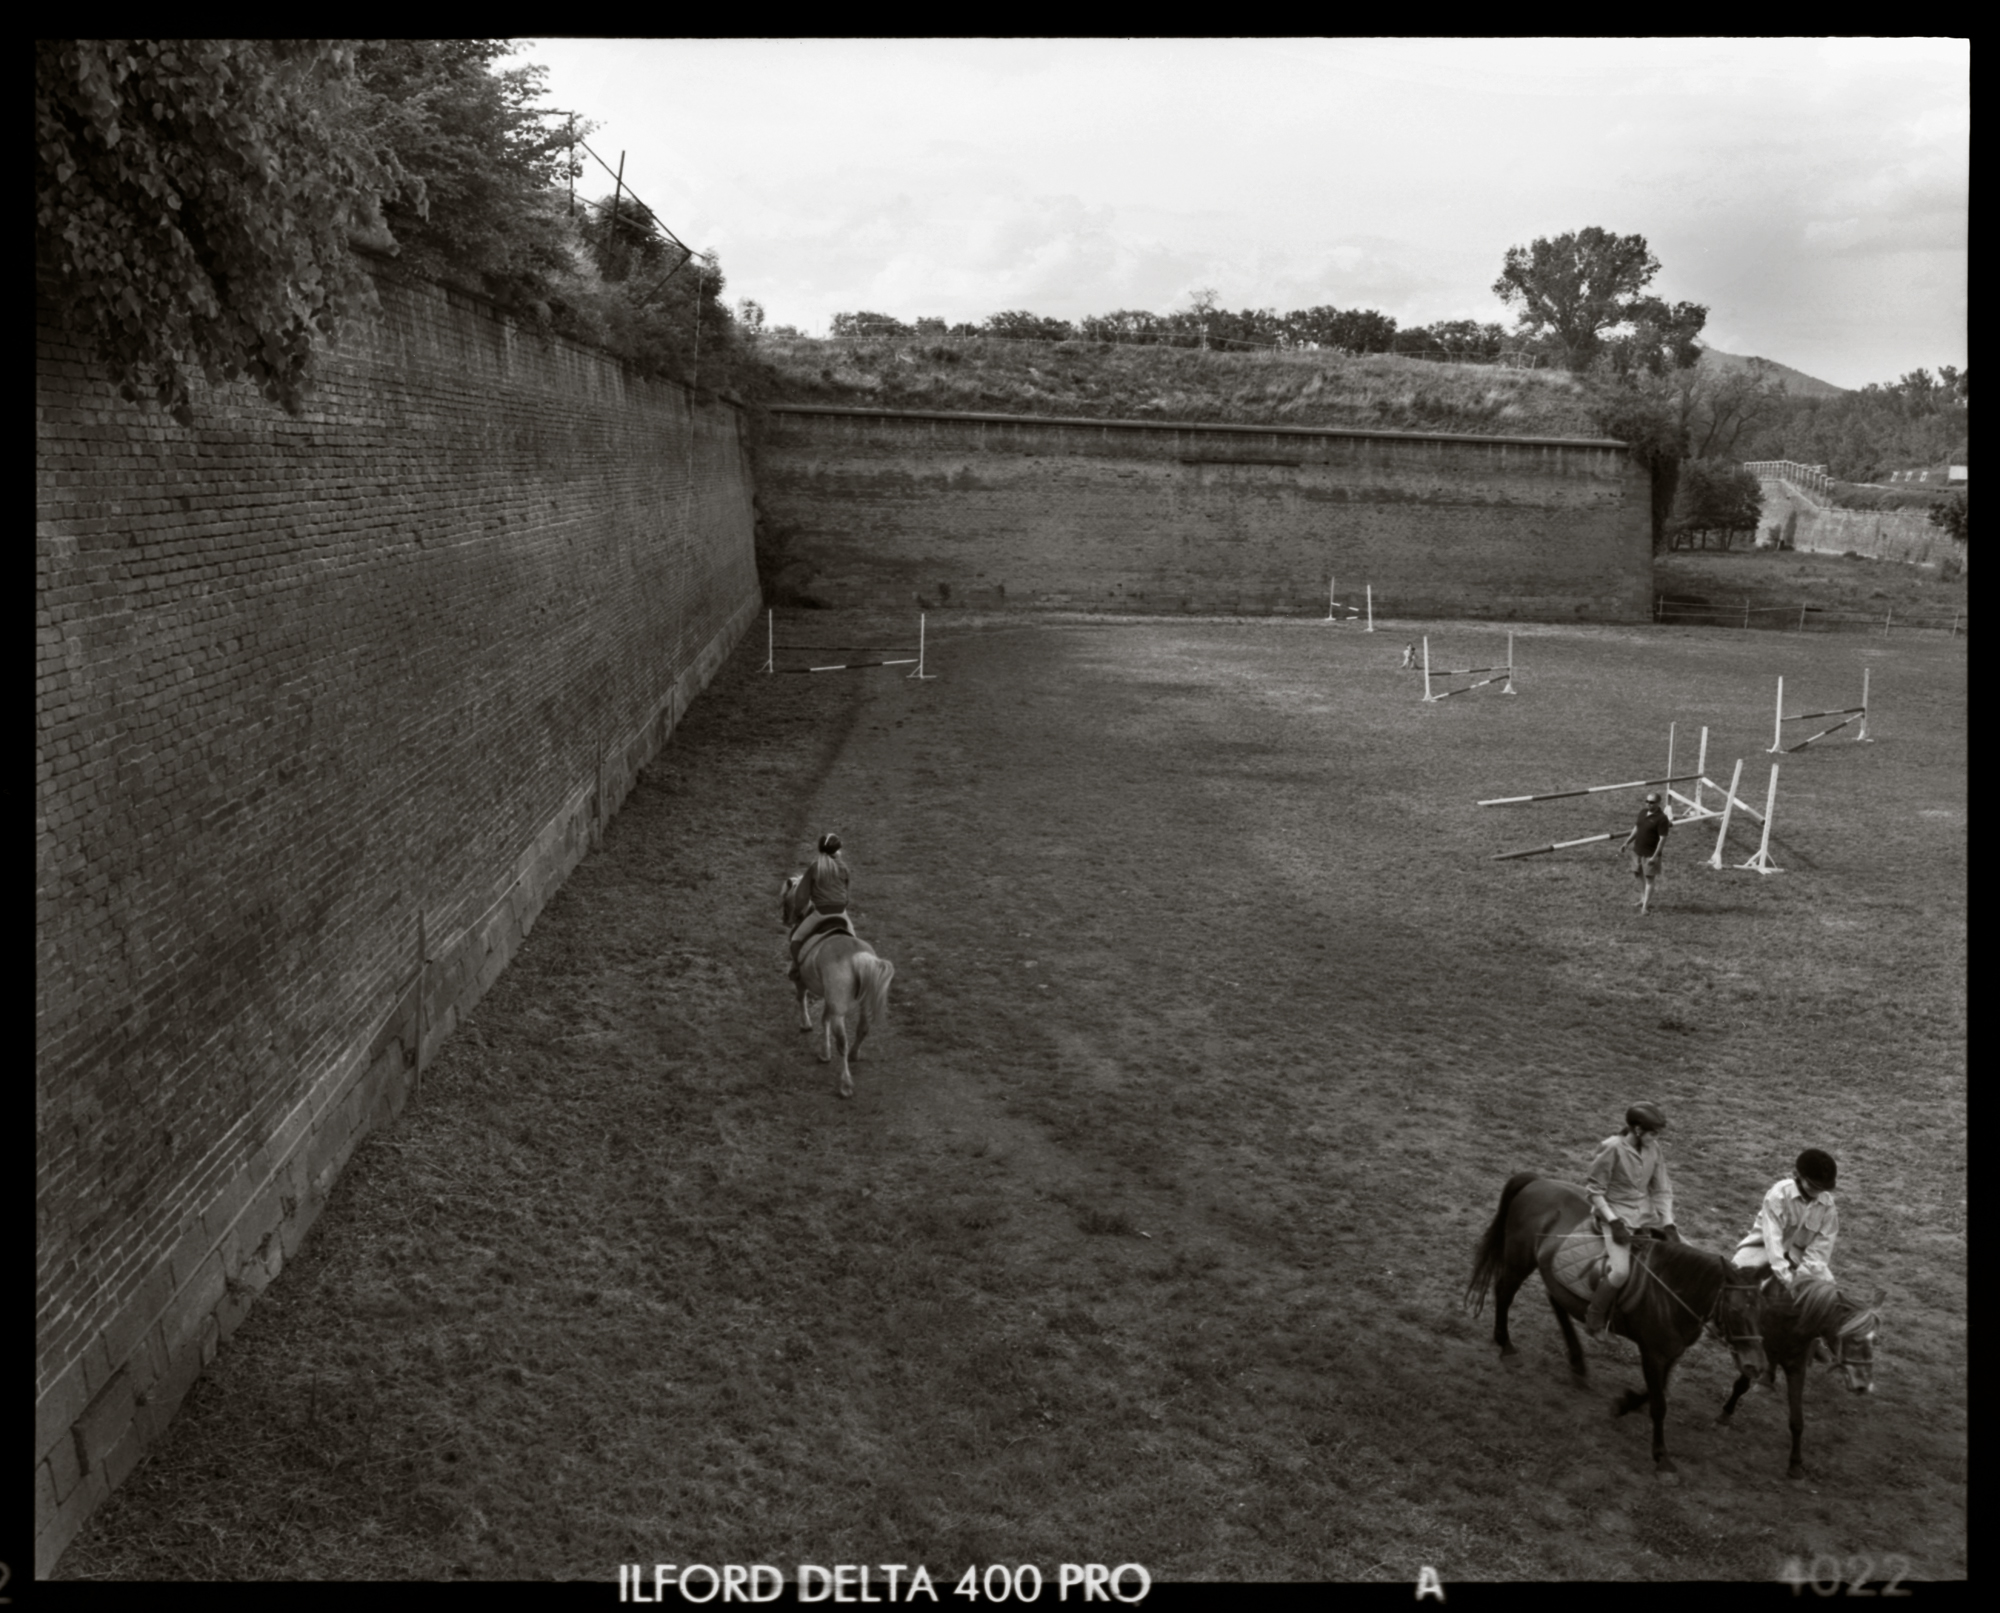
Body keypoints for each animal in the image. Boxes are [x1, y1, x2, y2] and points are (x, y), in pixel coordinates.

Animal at [776, 876, 896, 1104]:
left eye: (787, 893)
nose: (785, 919)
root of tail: (859, 957)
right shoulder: (829, 998)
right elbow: (824, 1020)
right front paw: (824, 1053)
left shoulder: (803, 982)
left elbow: (801, 999)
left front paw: (805, 1025)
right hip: (861, 1003)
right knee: (862, 1029)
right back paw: (855, 1055)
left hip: (840, 1009)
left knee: (843, 1042)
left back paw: (845, 1085)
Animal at [1464, 1176, 1776, 1480]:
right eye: (1734, 1309)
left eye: (1763, 1309)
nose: (1755, 1366)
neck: (1672, 1291)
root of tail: (1537, 1182)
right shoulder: (1652, 1352)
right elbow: (1659, 1403)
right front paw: (1662, 1458)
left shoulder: (1671, 1353)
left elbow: (1657, 1390)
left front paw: (1624, 1404)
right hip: (1519, 1260)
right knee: (1504, 1292)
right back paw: (1507, 1347)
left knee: (1556, 1302)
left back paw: (1578, 1363)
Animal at [1712, 1272, 1880, 1480]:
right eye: (1853, 1338)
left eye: (1875, 1340)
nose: (1863, 1385)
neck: (1787, 1321)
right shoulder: (1754, 1356)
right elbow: (1741, 1386)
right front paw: (1725, 1414)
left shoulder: (1797, 1368)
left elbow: (1797, 1420)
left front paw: (1795, 1463)